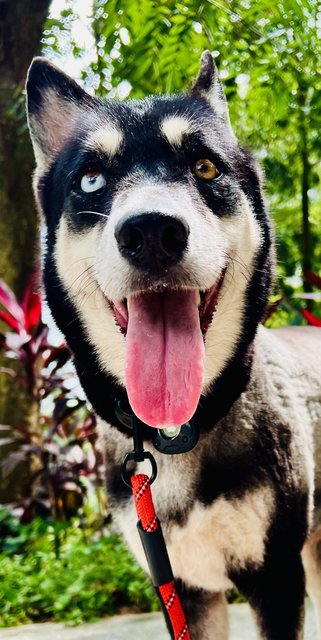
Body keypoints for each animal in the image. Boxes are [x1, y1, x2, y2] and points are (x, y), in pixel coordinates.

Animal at [25, 51, 320, 640]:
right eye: (91, 178)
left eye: (205, 167)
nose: (152, 232)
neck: (176, 433)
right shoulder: (183, 588)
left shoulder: (277, 577)